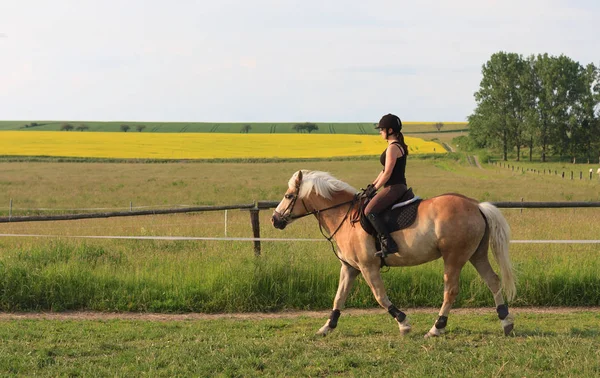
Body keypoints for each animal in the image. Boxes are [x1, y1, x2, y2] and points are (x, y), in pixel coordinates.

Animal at [272, 170, 516, 338]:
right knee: (493, 281)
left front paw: (404, 323)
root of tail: (476, 205)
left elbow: (380, 296)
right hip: (476, 254)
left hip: (454, 258)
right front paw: (326, 327)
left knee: (451, 291)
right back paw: (506, 322)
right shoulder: (349, 268)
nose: (275, 219)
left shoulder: (368, 267)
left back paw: (436, 328)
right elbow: (339, 297)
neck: (344, 215)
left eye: (289, 195)